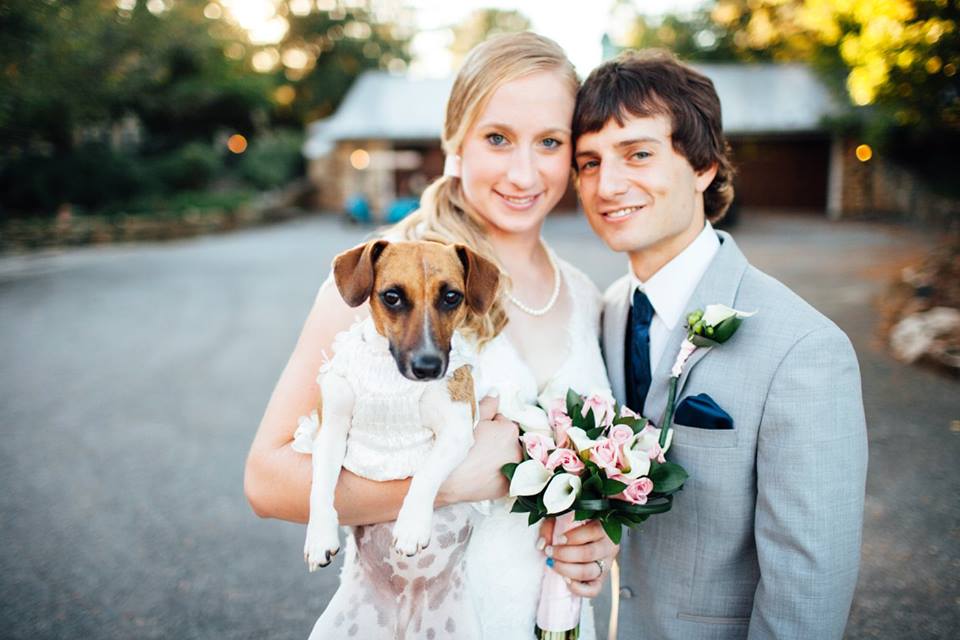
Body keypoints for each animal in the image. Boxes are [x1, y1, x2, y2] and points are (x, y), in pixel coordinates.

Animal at [304, 240, 502, 568]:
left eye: (451, 297)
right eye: (392, 297)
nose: (427, 367)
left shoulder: (457, 430)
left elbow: (426, 473)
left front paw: (411, 526)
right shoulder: (330, 429)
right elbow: (319, 485)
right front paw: (319, 536)